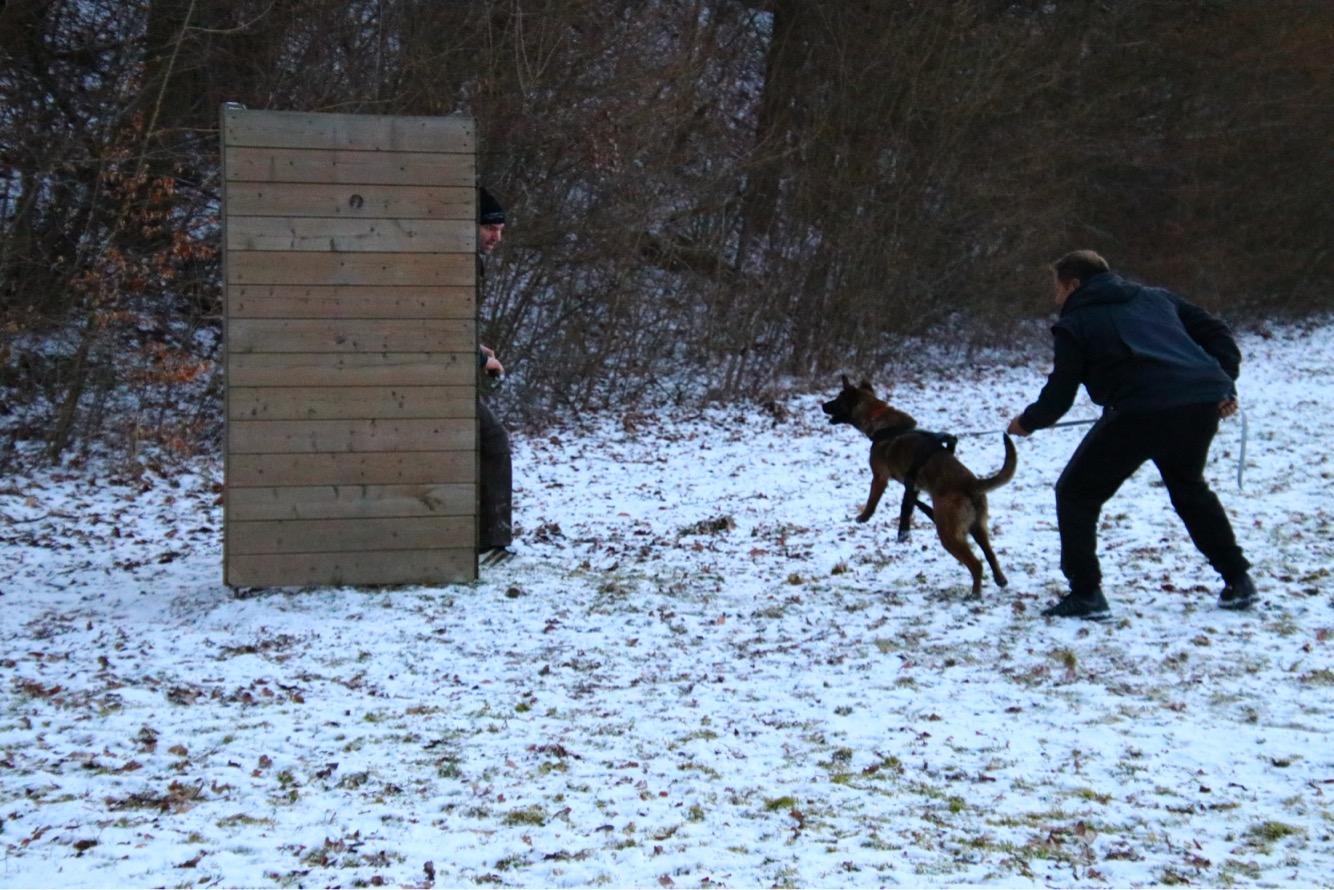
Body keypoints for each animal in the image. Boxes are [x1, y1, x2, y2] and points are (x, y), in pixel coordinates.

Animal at [816, 376, 1013, 597]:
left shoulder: (879, 477)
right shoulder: (913, 487)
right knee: (990, 555)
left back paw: (974, 594)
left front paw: (863, 517)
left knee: (976, 564)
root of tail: (972, 483)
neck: (879, 418)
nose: (822, 405)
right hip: (978, 528)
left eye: (838, 398)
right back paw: (1000, 579)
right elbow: (908, 506)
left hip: (948, 533)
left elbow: (872, 501)